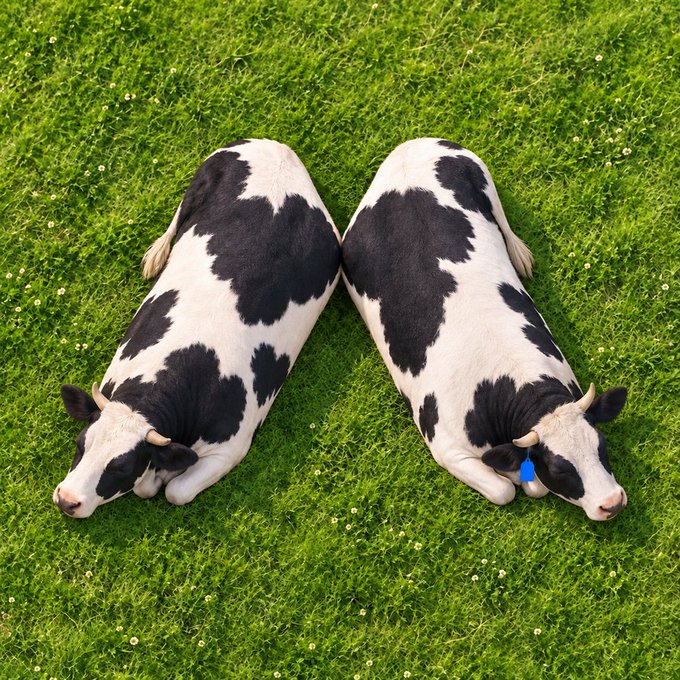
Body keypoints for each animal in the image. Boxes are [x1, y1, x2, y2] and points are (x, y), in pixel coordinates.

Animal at [54, 139, 341, 518]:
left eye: (120, 466)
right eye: (81, 443)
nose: (67, 499)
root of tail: (278, 147)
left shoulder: (230, 448)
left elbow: (177, 492)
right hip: (201, 179)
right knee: (178, 218)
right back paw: (156, 256)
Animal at [342, 138, 628, 521]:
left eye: (602, 445)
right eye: (560, 468)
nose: (612, 503)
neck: (504, 383)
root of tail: (407, 147)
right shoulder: (446, 447)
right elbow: (503, 490)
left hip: (481, 173)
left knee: (501, 218)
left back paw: (519, 254)